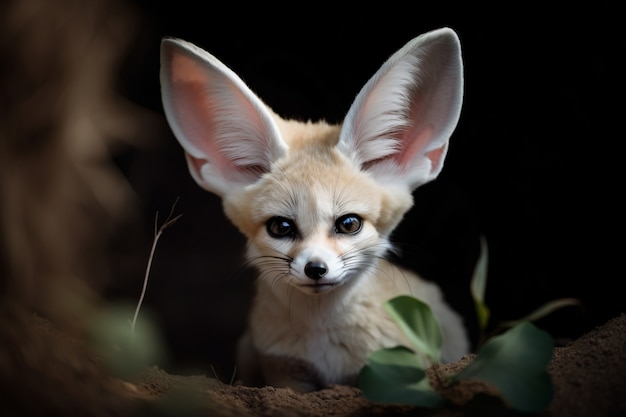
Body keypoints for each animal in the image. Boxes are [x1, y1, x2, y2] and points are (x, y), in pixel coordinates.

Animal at [161, 27, 468, 392]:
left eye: (348, 224)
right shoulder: (286, 372)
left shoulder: (385, 369)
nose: (316, 268)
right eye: (281, 227)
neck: (323, 340)